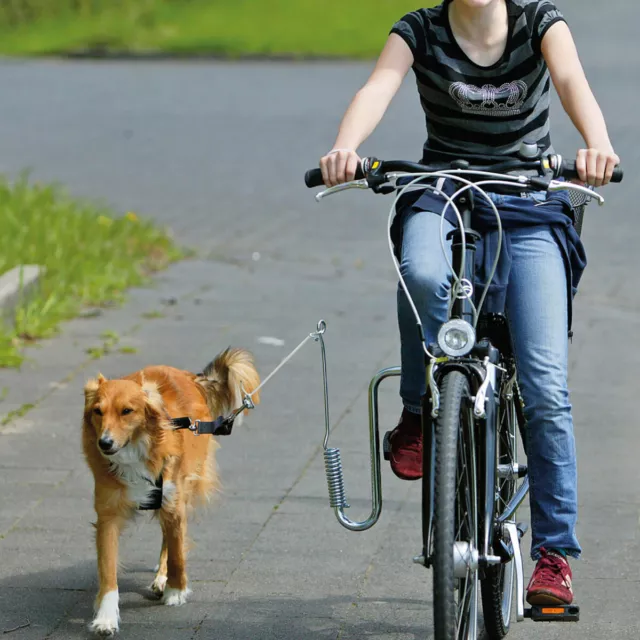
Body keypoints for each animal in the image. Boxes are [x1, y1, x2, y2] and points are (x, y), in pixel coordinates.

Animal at [81, 350, 258, 636]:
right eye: (98, 411)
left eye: (127, 411)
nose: (104, 443)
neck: (135, 451)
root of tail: (190, 376)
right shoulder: (108, 516)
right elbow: (108, 571)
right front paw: (105, 619)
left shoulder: (173, 502)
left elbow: (176, 551)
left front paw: (176, 590)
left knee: (170, 538)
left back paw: (164, 579)